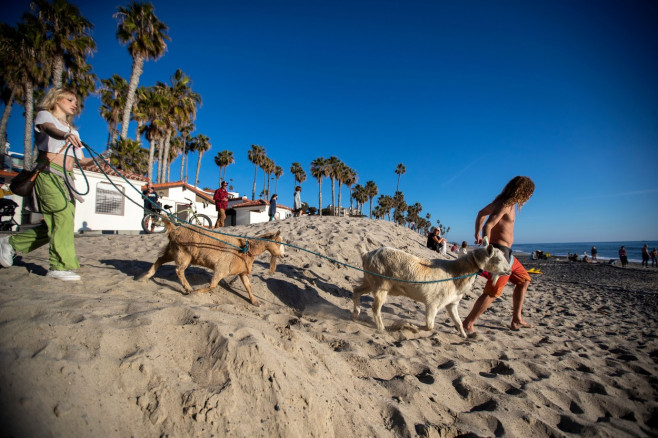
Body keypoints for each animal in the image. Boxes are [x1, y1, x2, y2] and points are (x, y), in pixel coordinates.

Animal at [136, 219, 282, 304]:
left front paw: (254, 301)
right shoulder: (220, 269)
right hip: (183, 254)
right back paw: (188, 288)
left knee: (159, 260)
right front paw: (197, 292)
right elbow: (212, 285)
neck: (245, 249)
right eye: (279, 243)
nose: (283, 255)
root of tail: (174, 229)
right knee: (179, 270)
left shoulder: (242, 272)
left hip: (172, 251)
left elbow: (248, 286)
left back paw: (144, 277)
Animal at [354, 241, 508, 338]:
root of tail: (366, 254)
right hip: (381, 285)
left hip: (370, 280)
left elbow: (457, 321)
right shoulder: (433, 303)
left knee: (356, 290)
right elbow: (429, 326)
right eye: (499, 260)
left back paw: (356, 314)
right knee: (375, 308)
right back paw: (381, 328)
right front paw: (408, 326)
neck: (456, 273)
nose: (508, 271)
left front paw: (464, 335)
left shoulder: (452, 304)